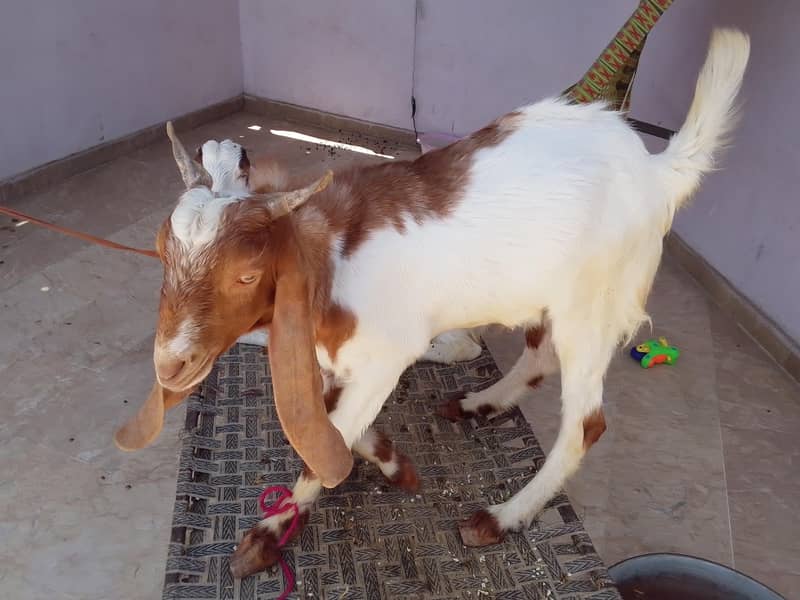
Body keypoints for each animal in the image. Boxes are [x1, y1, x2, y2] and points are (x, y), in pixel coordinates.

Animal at [116, 29, 749, 578]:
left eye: (247, 274)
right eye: (161, 253)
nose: (169, 363)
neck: (331, 258)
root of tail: (656, 168)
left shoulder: (386, 355)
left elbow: (329, 437)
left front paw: (267, 536)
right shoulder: (332, 357)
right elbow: (334, 422)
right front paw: (391, 461)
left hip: (592, 303)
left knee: (585, 422)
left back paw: (502, 517)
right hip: (549, 291)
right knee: (541, 354)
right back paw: (480, 404)